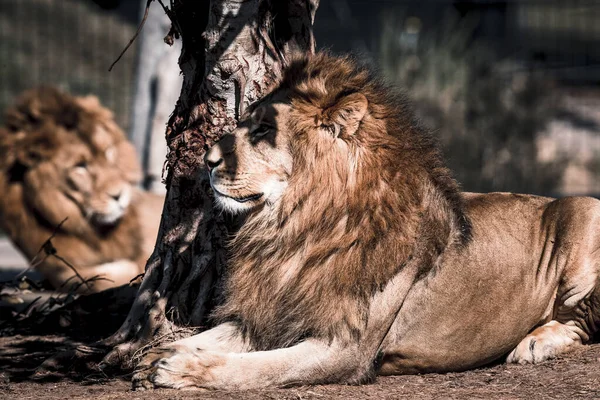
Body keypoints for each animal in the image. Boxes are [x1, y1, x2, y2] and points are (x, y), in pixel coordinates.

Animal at [132, 53, 600, 390]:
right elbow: (208, 336)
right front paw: (156, 355)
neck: (298, 227)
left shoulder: (345, 349)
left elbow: (257, 369)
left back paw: (535, 343)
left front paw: (182, 369)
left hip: (585, 212)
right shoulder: (273, 312)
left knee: (583, 323)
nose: (207, 161)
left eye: (264, 130)